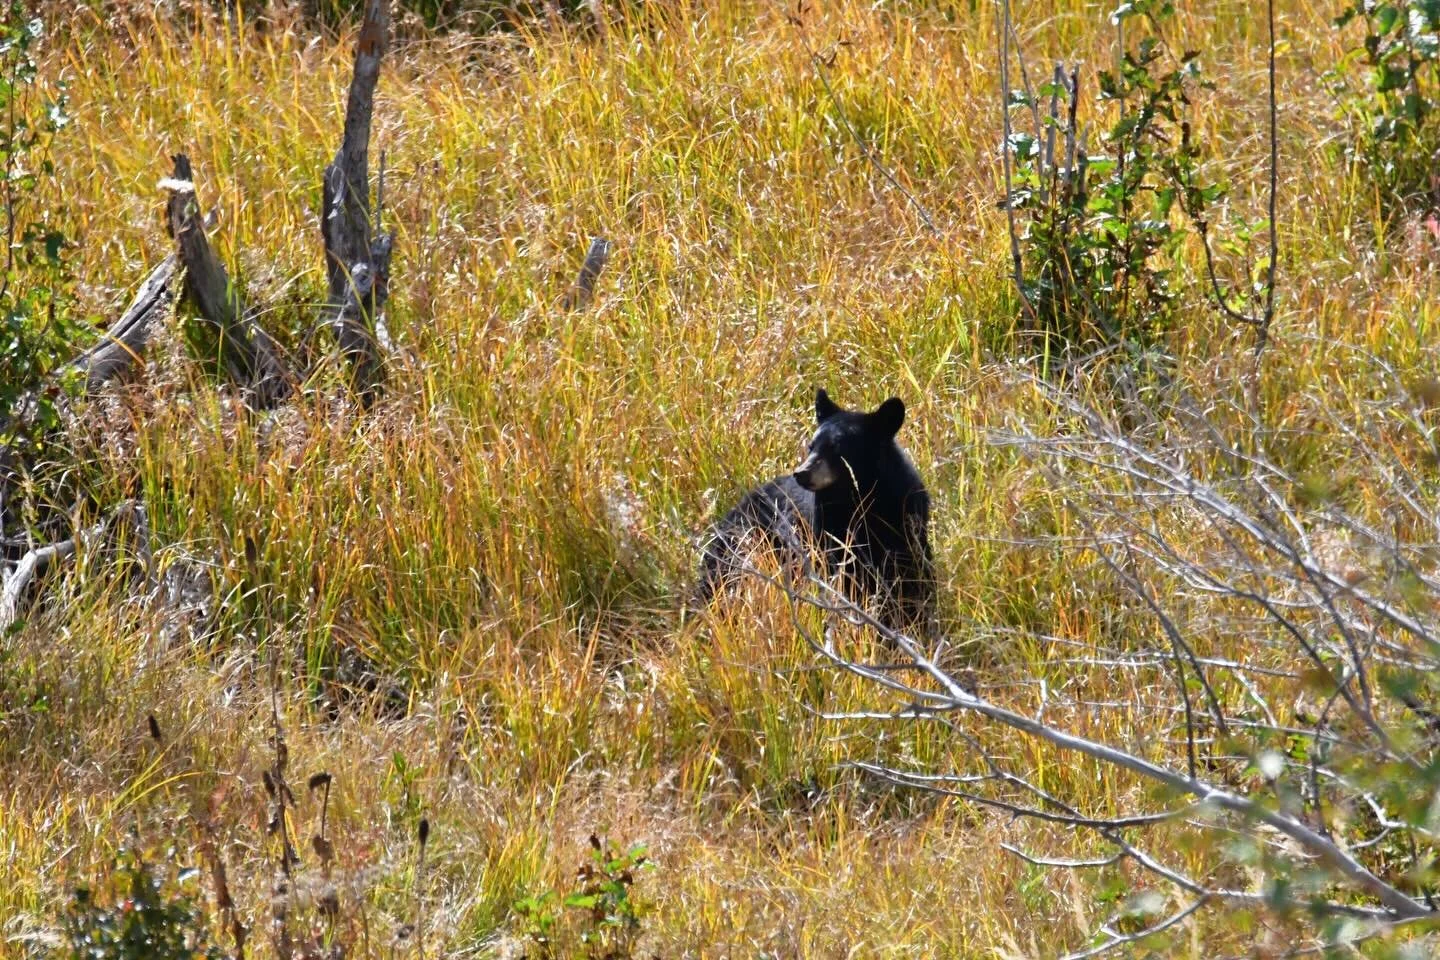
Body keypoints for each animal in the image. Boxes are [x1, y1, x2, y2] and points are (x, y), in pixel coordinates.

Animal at [696, 387, 934, 632]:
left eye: (837, 449)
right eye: (811, 446)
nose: (801, 473)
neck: (858, 499)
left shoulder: (905, 518)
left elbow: (913, 575)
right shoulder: (826, 529)